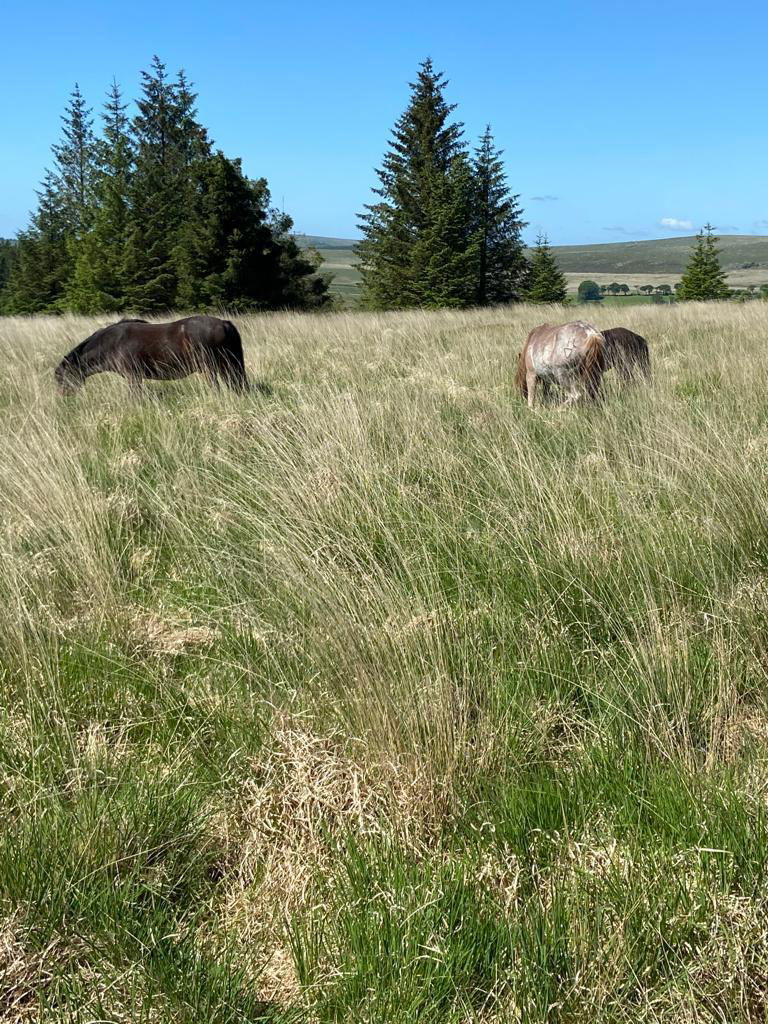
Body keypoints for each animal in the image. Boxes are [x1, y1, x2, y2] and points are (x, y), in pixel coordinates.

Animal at [54, 313, 252, 393]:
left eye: (61, 377)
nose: (63, 397)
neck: (112, 343)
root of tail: (223, 323)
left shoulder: (133, 377)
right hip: (227, 365)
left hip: (212, 367)